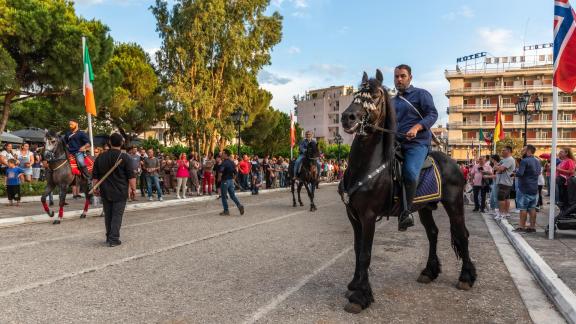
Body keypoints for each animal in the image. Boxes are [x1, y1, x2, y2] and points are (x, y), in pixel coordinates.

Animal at [338, 70, 476, 314]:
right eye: (355, 95)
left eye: (375, 96)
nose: (348, 117)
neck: (367, 166)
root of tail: (454, 162)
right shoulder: (353, 216)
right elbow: (356, 249)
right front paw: (354, 284)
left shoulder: (368, 216)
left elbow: (365, 254)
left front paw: (361, 296)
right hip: (425, 208)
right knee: (433, 233)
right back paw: (429, 271)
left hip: (454, 203)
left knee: (462, 234)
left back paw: (466, 277)